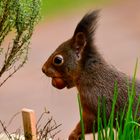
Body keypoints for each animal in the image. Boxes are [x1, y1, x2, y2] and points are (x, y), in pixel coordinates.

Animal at [41, 10, 140, 140]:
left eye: (58, 60)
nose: (43, 69)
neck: (90, 75)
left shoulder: (97, 104)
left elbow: (92, 123)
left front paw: (73, 134)